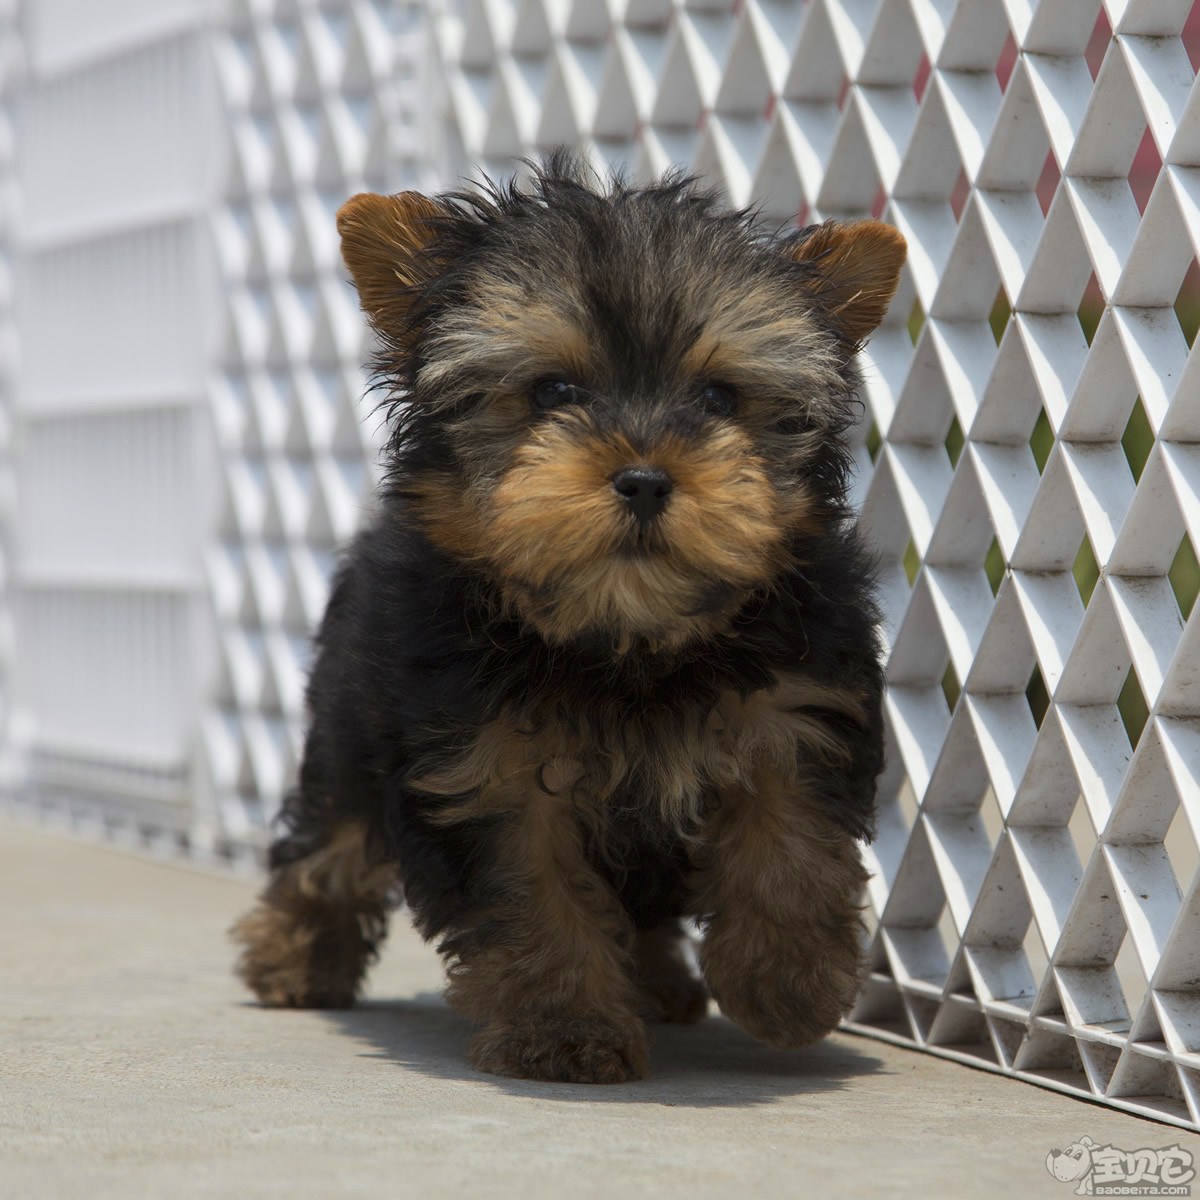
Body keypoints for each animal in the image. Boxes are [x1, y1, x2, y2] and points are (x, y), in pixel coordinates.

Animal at [231, 154, 907, 1084]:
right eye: (553, 390)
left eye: (719, 397)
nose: (646, 478)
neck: (628, 641)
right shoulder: (482, 766)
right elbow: (532, 893)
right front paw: (563, 1029)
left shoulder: (797, 711)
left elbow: (790, 843)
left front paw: (787, 982)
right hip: (348, 728)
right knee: (327, 842)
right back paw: (292, 956)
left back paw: (660, 983)